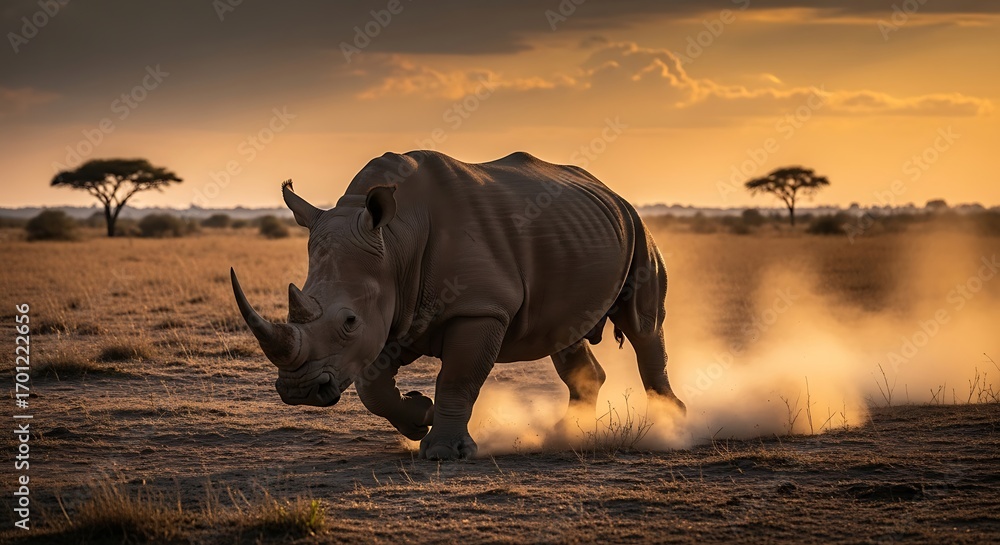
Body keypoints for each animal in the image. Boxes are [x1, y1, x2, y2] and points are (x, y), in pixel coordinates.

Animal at [231, 150, 684, 460]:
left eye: (349, 321)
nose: (299, 391)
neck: (395, 240)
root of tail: (611, 190)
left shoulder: (480, 307)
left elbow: (458, 377)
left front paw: (444, 452)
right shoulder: (397, 310)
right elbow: (370, 384)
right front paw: (420, 417)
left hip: (638, 228)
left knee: (644, 329)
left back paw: (671, 425)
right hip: (583, 234)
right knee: (566, 336)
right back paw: (568, 432)